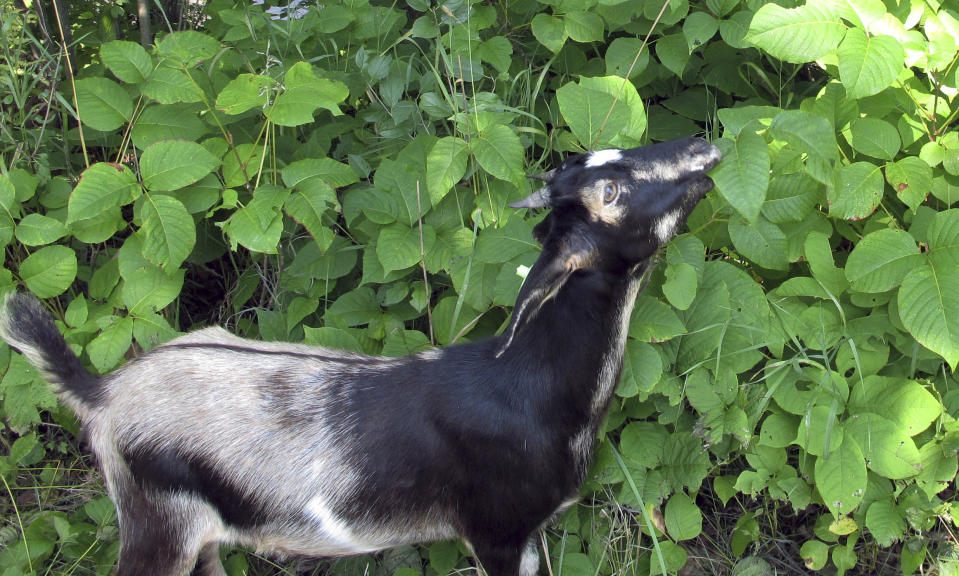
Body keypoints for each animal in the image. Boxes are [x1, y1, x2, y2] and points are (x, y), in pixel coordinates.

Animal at [0, 137, 720, 576]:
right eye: (611, 194)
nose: (700, 147)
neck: (527, 386)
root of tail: (101, 394)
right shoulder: (498, 529)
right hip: (157, 521)